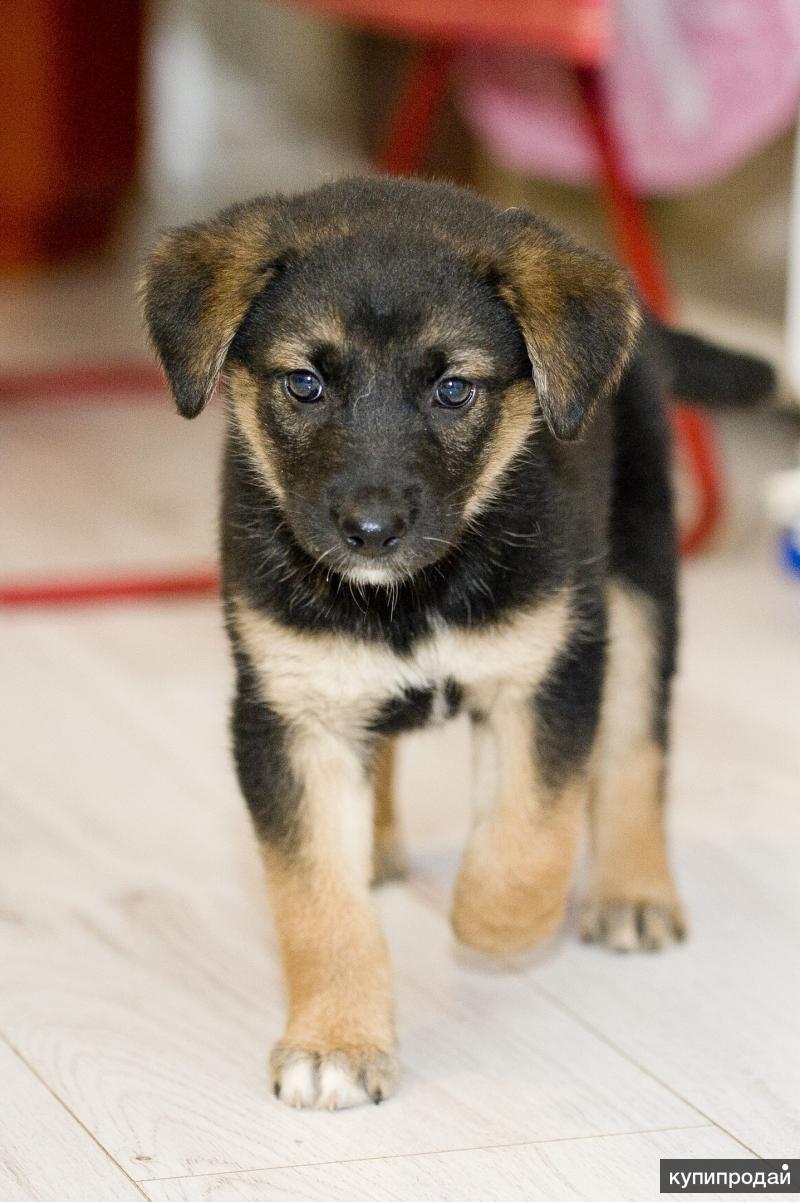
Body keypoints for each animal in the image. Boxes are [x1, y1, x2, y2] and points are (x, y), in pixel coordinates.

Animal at [141, 175, 768, 1105]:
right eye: (304, 384)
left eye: (453, 390)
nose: (370, 531)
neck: (413, 599)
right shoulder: (289, 716)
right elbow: (315, 902)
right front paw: (337, 1040)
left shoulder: (549, 672)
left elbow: (529, 837)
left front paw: (489, 924)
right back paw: (379, 841)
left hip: (640, 578)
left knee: (635, 751)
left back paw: (633, 890)